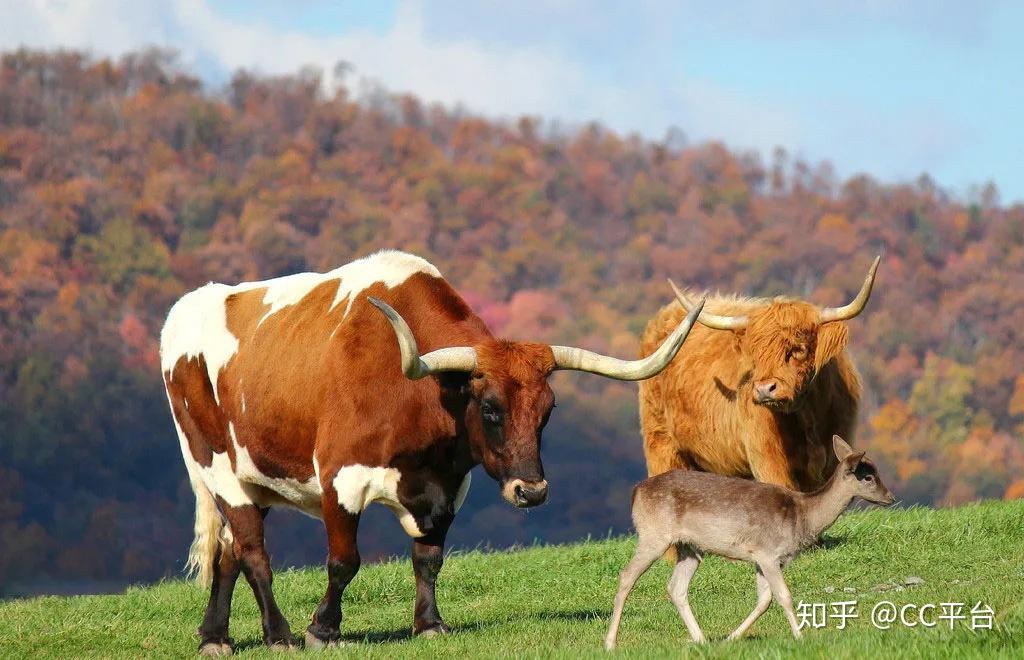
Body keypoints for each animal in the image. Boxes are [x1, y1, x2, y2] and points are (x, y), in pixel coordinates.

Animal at [159, 249, 704, 650]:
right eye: (490, 408)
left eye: (548, 409)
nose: (531, 491)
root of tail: (185, 310)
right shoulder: (340, 476)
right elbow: (344, 560)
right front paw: (323, 629)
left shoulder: (447, 486)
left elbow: (429, 558)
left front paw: (429, 624)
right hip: (215, 464)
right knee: (252, 551)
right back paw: (279, 634)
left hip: (252, 475)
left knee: (227, 551)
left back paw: (214, 637)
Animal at [602, 435, 892, 646]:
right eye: (868, 476)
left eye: (877, 471)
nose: (890, 497)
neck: (802, 517)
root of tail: (636, 492)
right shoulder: (768, 553)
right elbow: (784, 596)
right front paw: (801, 637)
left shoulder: (762, 558)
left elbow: (764, 601)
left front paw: (731, 637)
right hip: (654, 534)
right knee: (627, 575)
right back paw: (610, 642)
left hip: (690, 548)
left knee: (676, 587)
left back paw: (701, 639)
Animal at [634, 257, 876, 495]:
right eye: (756, 354)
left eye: (798, 348)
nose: (764, 389)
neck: (808, 415)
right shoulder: (769, 461)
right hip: (661, 445)